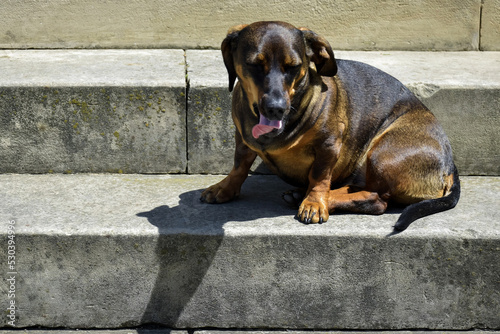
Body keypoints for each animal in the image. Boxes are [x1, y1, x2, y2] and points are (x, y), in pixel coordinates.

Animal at [200, 20, 460, 230]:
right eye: (254, 64)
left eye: (293, 66)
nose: (276, 108)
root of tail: (450, 167)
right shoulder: (242, 138)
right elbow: (239, 165)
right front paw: (224, 188)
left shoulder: (329, 144)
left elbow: (320, 176)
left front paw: (315, 203)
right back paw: (302, 194)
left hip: (383, 153)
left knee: (377, 199)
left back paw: (315, 198)